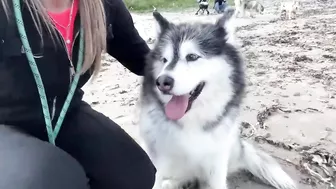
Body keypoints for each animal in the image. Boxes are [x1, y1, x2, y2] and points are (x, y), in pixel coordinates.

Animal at [139, 8, 296, 189]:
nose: (162, 82)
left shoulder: (217, 159)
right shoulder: (159, 158)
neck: (192, 121)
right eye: (164, 60)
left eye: (192, 57)